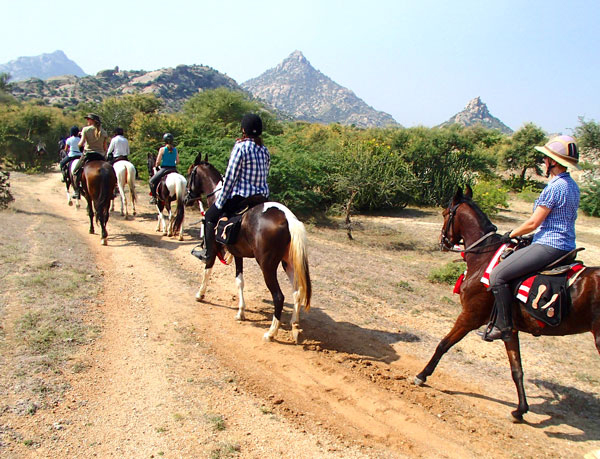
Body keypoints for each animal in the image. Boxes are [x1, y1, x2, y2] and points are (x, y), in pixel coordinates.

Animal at [185, 155, 312, 344]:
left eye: (190, 174)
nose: (186, 198)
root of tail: (289, 219)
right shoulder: (238, 254)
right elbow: (240, 281)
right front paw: (241, 312)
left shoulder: (214, 248)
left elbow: (207, 269)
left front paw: (200, 294)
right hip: (287, 263)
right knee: (297, 292)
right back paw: (294, 324)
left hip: (267, 266)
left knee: (279, 297)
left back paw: (271, 333)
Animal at [414, 185, 600, 422]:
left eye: (445, 213)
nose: (443, 242)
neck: (483, 258)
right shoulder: (509, 329)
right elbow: (516, 368)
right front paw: (520, 409)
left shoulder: (470, 316)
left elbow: (443, 344)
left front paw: (422, 375)